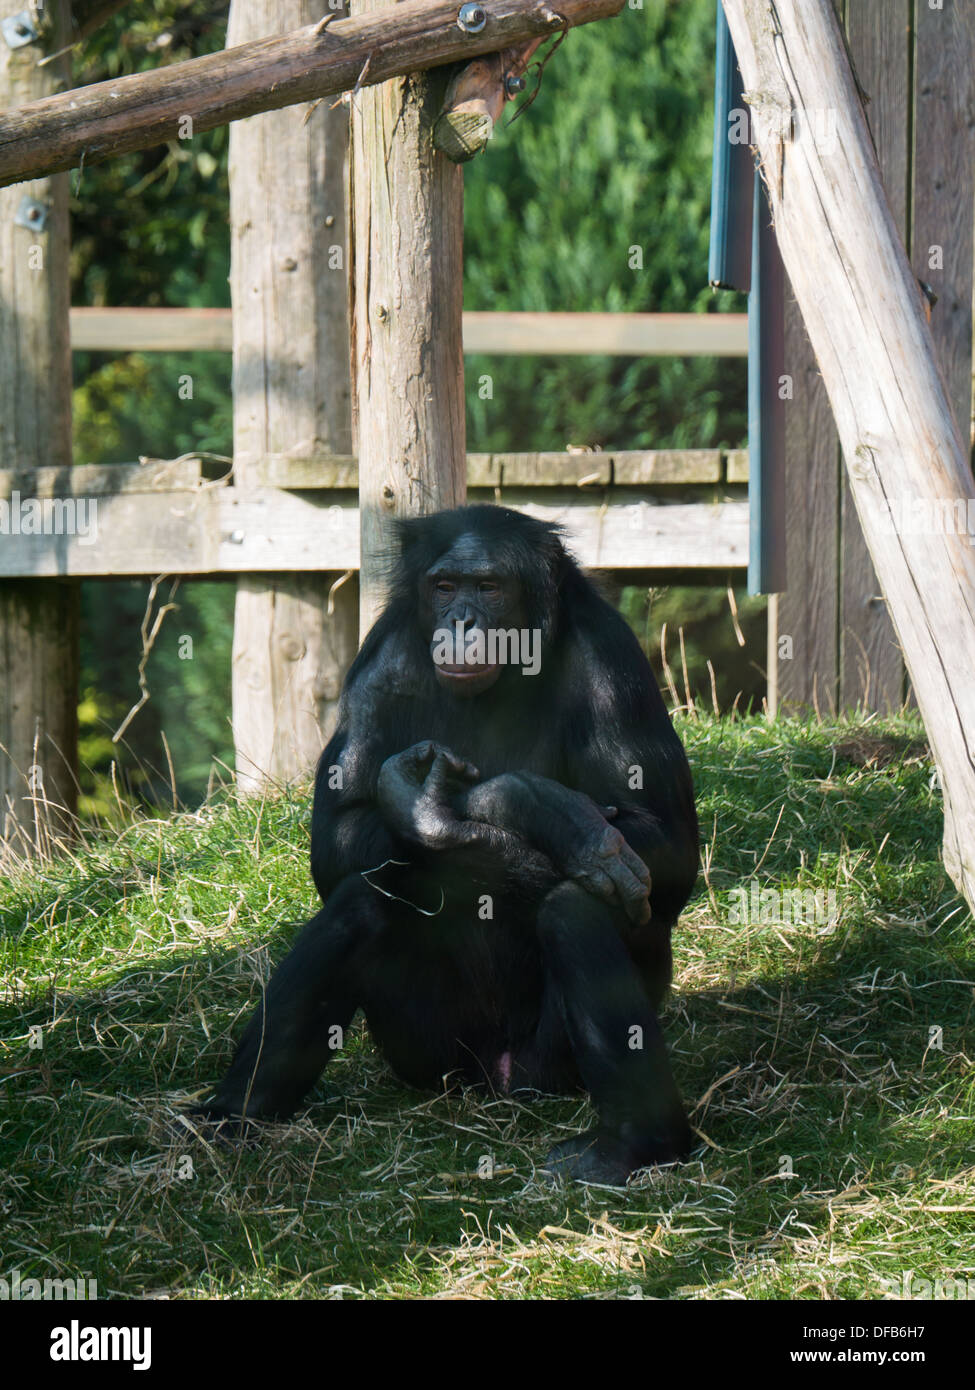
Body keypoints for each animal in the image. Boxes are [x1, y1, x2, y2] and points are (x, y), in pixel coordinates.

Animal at [201, 505, 695, 1178]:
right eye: (443, 587)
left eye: (487, 587)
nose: (461, 620)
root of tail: (491, 1083)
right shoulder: (378, 665)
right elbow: (336, 834)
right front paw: (477, 811)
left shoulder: (611, 663)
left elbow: (665, 838)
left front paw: (520, 804)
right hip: (427, 1057)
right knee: (362, 901)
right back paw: (234, 1113)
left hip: (544, 1070)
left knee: (578, 907)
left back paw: (634, 1145)